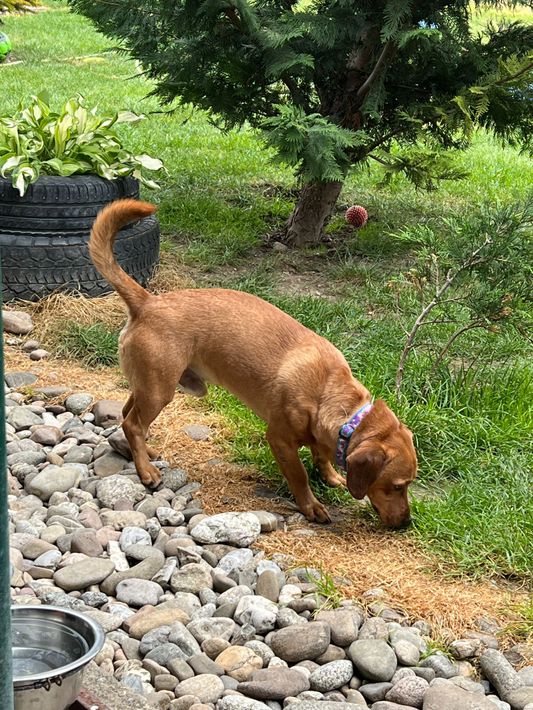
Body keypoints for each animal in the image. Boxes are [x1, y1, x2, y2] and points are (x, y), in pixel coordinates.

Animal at [89, 199, 417, 527]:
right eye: (397, 486)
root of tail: (147, 302)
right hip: (159, 390)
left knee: (127, 415)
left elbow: (321, 454)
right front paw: (311, 505)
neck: (329, 390)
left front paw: (330, 475)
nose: (406, 523)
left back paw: (145, 452)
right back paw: (146, 470)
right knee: (132, 424)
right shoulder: (280, 440)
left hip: (150, 385)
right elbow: (299, 476)